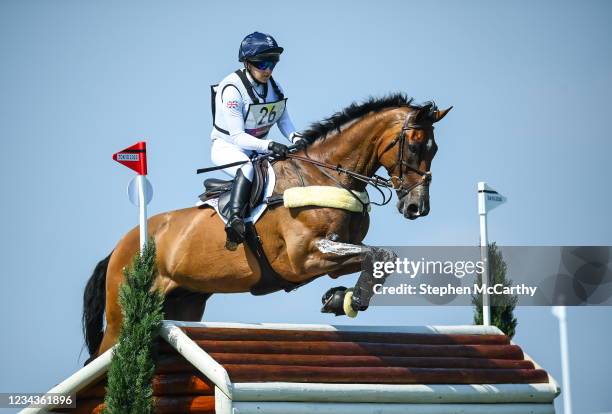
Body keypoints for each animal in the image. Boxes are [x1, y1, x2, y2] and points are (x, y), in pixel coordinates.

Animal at [83, 94, 452, 362]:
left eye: (434, 149)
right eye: (414, 146)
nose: (417, 207)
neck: (326, 174)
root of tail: (119, 247)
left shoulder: (334, 257)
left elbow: (380, 256)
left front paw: (339, 298)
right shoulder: (304, 257)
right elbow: (376, 254)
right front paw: (351, 300)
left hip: (184, 303)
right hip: (121, 316)